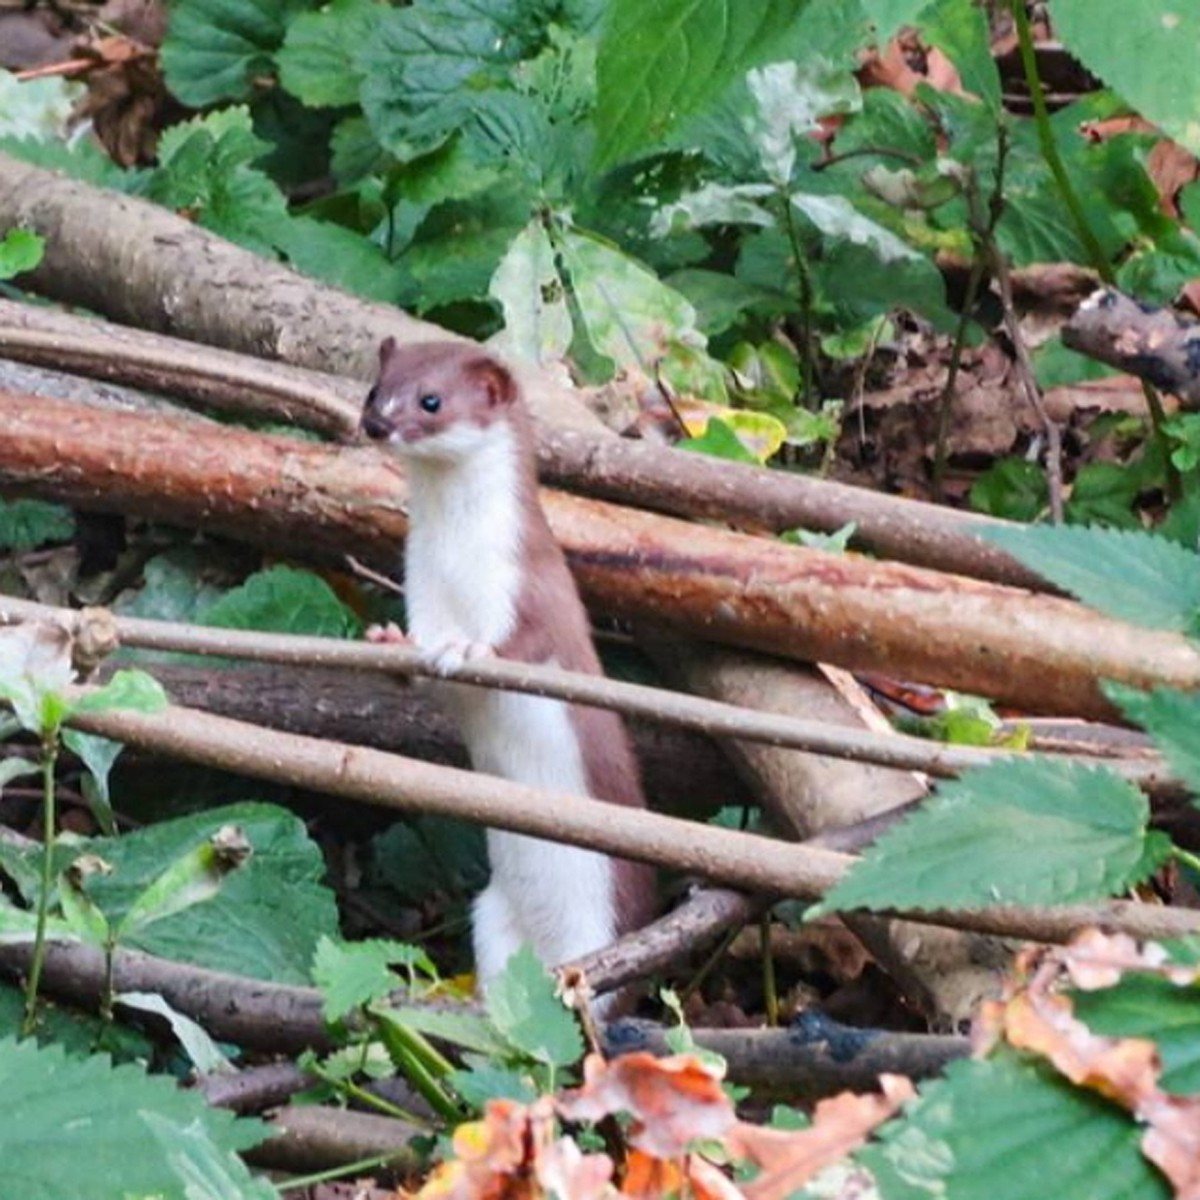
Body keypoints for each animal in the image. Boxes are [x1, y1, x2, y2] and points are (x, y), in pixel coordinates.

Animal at [360, 340, 657, 993]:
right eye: (374, 389)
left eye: (431, 400)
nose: (375, 424)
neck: (455, 566)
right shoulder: (421, 587)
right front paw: (390, 640)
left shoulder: (531, 582)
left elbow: (529, 642)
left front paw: (471, 651)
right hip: (491, 914)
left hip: (600, 919)